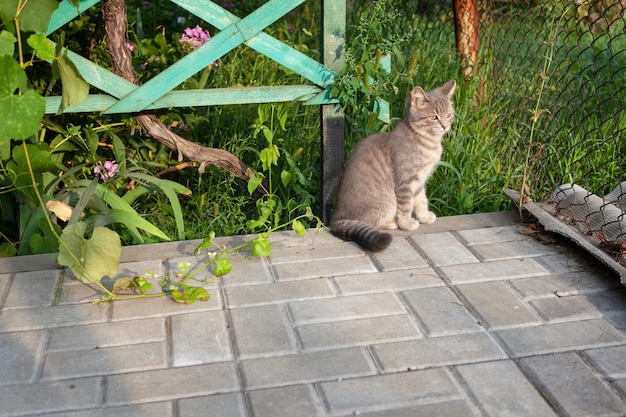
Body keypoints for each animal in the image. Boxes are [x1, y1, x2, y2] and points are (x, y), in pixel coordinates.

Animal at [330, 80, 456, 250]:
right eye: (433, 117)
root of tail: (337, 216)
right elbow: (406, 206)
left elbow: (421, 200)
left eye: (449, 115)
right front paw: (407, 223)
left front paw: (424, 216)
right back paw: (391, 223)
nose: (445, 126)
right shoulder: (405, 182)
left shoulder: (419, 181)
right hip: (387, 202)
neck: (427, 141)